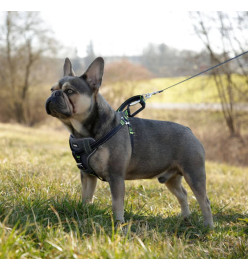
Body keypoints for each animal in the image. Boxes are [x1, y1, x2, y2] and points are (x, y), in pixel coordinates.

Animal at [45, 57, 214, 228]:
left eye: (69, 91)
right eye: (52, 89)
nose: (54, 94)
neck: (83, 133)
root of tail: (189, 130)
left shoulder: (116, 176)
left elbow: (117, 203)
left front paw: (119, 224)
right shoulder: (87, 176)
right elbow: (86, 197)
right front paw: (84, 214)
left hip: (194, 173)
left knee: (204, 200)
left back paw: (208, 226)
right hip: (171, 178)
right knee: (183, 194)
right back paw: (185, 218)